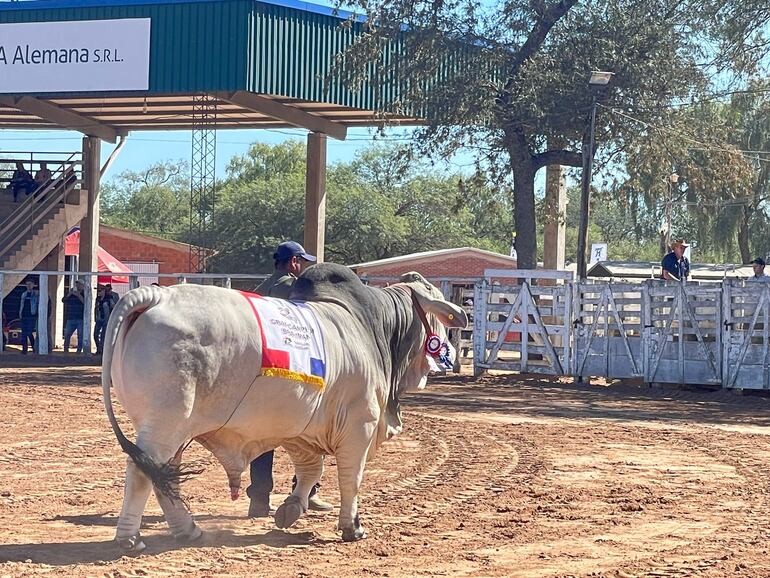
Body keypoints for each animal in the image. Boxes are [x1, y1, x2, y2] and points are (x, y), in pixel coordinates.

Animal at [100, 260, 462, 548]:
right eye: (433, 292)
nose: (451, 345)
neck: (368, 327)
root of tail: (158, 295)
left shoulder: (300, 426)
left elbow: (311, 469)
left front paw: (292, 508)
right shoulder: (361, 425)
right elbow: (351, 478)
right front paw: (352, 527)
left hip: (172, 429)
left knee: (165, 476)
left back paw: (188, 530)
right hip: (165, 423)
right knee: (142, 472)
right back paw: (129, 538)